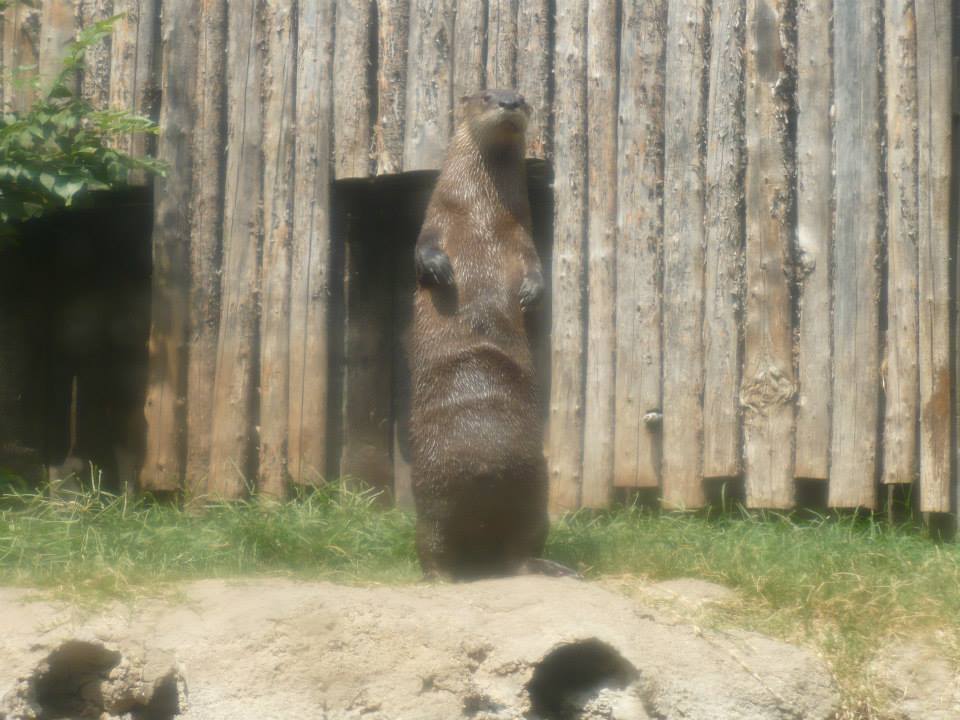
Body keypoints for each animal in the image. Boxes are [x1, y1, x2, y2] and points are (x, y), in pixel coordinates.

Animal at [409, 89, 557, 581]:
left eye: (523, 96)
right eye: (489, 95)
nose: (510, 102)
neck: (480, 217)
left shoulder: (522, 240)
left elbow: (536, 270)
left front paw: (531, 295)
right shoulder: (436, 220)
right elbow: (422, 251)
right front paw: (439, 271)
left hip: (534, 492)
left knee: (522, 547)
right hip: (430, 496)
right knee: (434, 546)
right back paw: (441, 578)